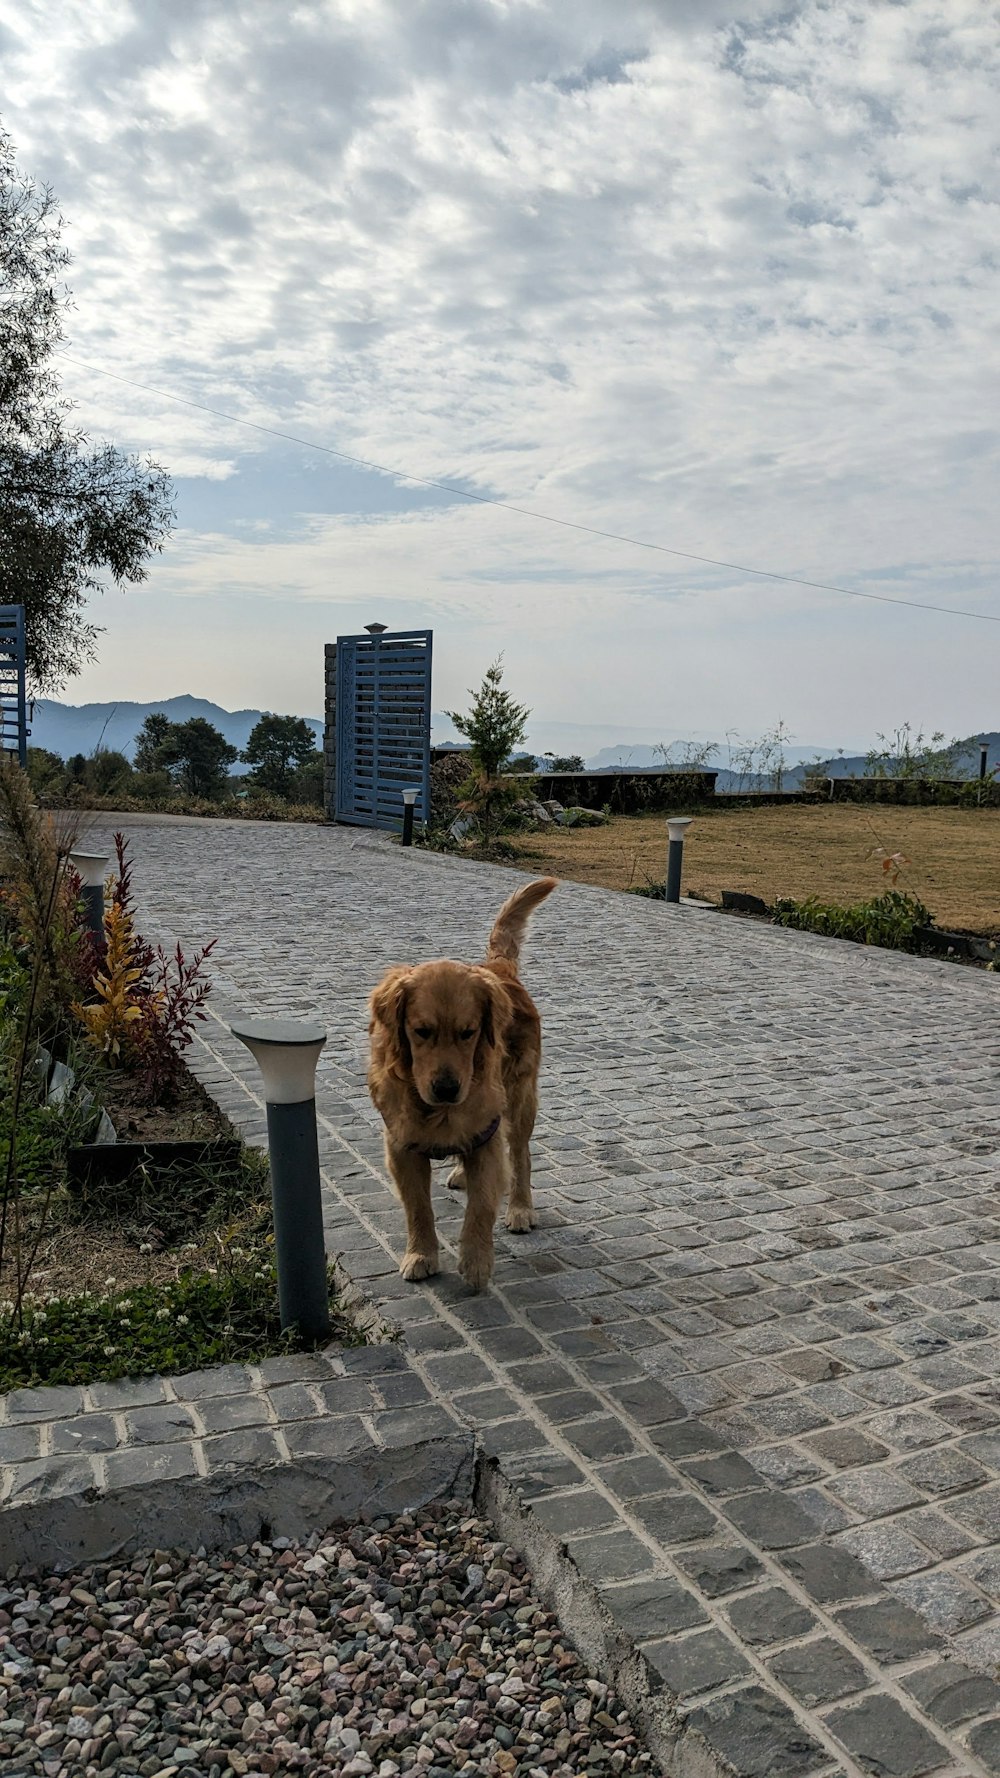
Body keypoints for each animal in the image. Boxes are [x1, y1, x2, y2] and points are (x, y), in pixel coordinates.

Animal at [366, 878, 555, 1287]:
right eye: (421, 1031)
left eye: (468, 1033)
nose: (447, 1088)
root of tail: (497, 967)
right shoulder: (402, 1147)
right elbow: (418, 1208)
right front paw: (420, 1254)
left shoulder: (487, 1137)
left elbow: (481, 1206)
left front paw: (476, 1260)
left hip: (520, 1098)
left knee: (520, 1154)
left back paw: (520, 1208)